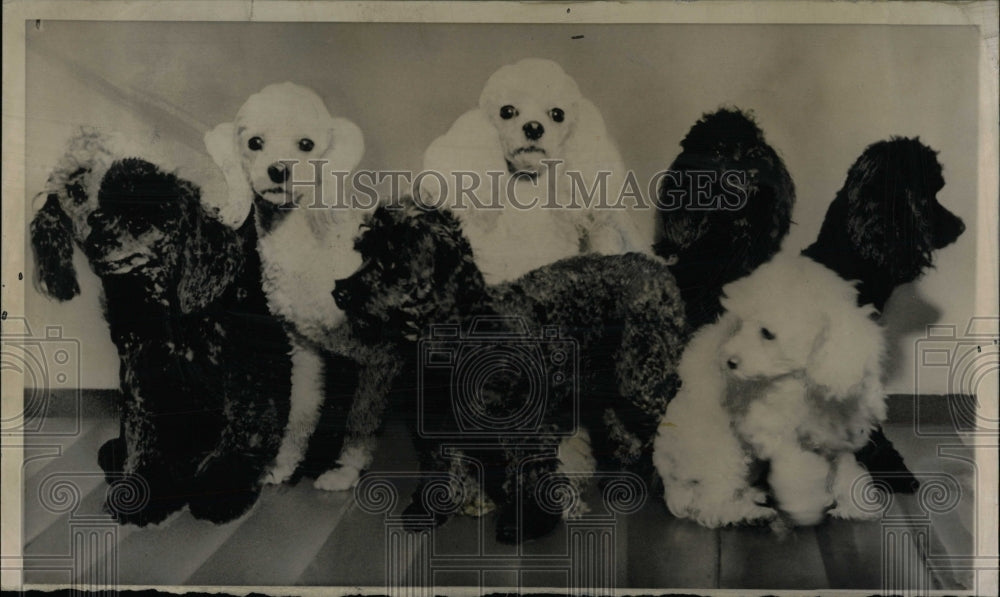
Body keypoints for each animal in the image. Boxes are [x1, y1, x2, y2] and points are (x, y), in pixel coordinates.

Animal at [203, 82, 376, 488]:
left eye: (306, 144)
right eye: (255, 143)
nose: (279, 170)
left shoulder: (378, 361)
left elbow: (360, 420)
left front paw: (346, 471)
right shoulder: (305, 351)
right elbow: (300, 414)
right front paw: (284, 465)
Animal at [656, 251, 884, 528]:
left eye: (766, 333)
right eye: (739, 325)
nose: (728, 361)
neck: (805, 381)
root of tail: (668, 476)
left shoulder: (837, 435)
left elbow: (845, 467)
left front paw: (855, 504)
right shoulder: (772, 432)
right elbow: (797, 467)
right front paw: (805, 506)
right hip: (721, 452)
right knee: (710, 505)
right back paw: (748, 514)